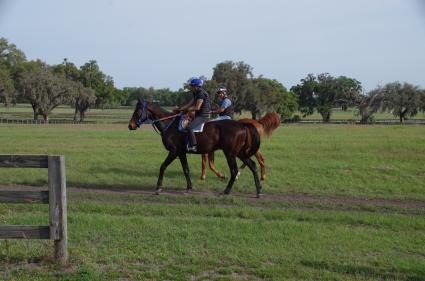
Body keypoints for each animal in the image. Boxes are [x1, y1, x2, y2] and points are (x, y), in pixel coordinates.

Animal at [127, 100, 264, 197]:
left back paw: (226, 190)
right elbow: (186, 170)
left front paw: (158, 188)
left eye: (137, 111)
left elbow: (163, 167)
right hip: (240, 153)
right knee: (253, 166)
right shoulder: (181, 153)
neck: (170, 124)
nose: (130, 125)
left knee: (234, 171)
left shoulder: (174, 151)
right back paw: (258, 191)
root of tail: (243, 125)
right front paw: (189, 187)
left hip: (230, 153)